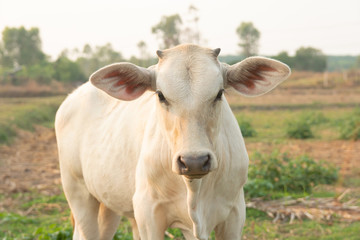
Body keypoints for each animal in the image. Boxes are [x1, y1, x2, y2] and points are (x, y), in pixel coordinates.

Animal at [55, 44, 290, 239]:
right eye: (160, 95)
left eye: (219, 93)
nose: (194, 161)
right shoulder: (149, 214)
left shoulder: (234, 214)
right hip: (78, 192)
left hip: (110, 205)